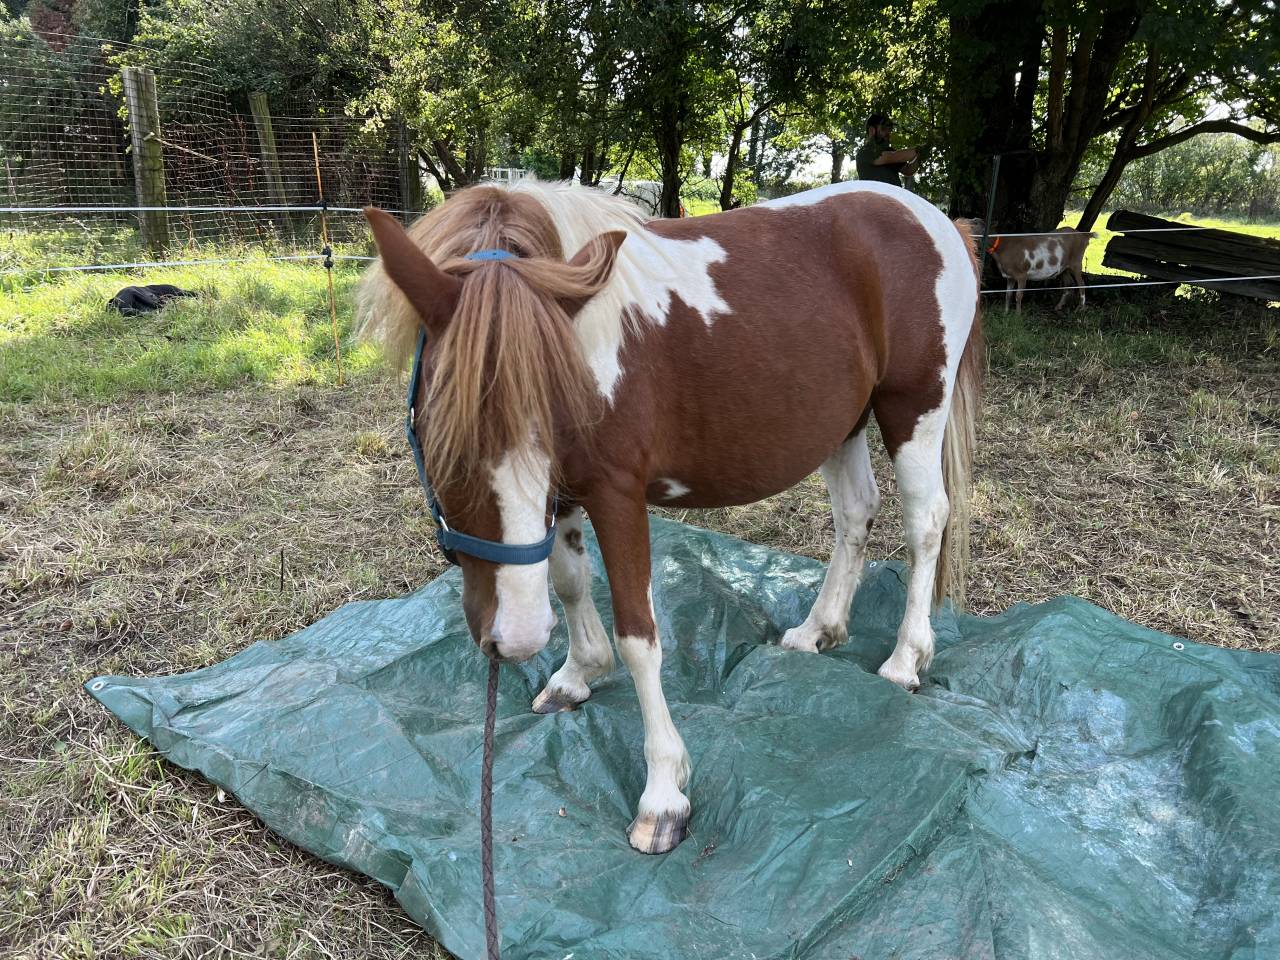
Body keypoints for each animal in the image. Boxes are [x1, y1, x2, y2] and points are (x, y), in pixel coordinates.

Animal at [358, 178, 983, 855]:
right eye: (437, 435)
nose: (515, 640)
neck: (582, 335)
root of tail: (938, 221)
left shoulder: (616, 494)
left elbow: (639, 637)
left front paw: (663, 795)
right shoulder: (564, 492)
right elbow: (569, 582)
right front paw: (577, 674)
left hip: (912, 409)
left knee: (925, 523)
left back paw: (905, 661)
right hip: (842, 422)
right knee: (855, 513)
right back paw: (818, 630)